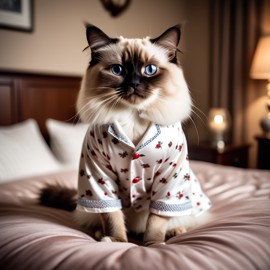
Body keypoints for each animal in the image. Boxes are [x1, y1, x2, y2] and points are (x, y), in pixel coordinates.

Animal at [41, 24, 212, 246]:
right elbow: (112, 217)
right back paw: (101, 234)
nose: (134, 84)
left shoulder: (169, 179)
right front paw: (117, 242)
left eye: (150, 70)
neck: (132, 117)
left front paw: (154, 245)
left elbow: (156, 223)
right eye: (118, 70)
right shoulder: (99, 177)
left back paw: (175, 232)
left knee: (178, 220)